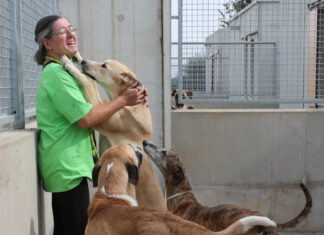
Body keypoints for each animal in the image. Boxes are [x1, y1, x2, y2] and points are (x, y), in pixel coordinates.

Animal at [60, 53, 166, 209]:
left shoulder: (99, 114)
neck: (127, 103)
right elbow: (92, 84)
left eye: (104, 65)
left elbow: (86, 81)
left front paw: (69, 63)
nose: (84, 61)